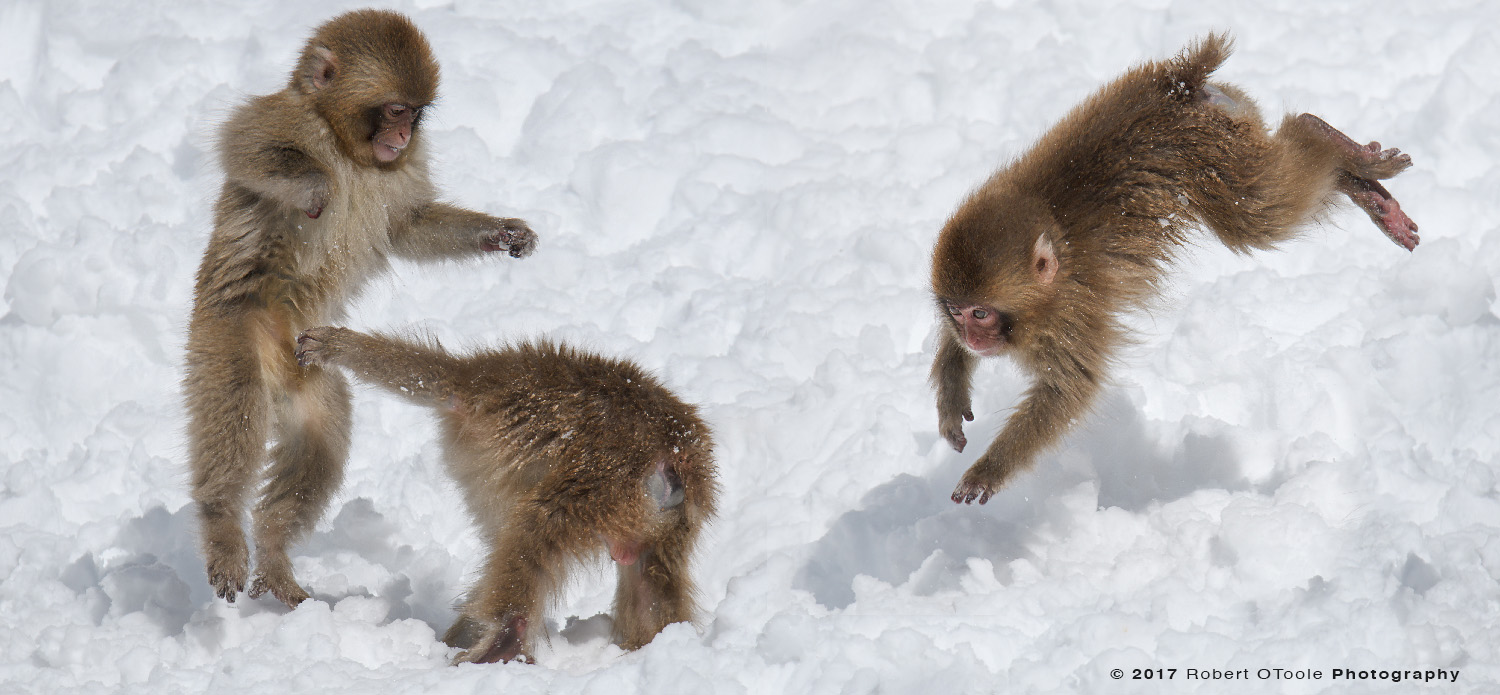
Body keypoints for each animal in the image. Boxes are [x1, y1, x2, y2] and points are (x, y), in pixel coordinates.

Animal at [184, 10, 540, 609]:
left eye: (417, 114)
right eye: (395, 110)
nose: (403, 136)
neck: (347, 147)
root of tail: (280, 369)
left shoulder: (402, 171)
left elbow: (408, 226)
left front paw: (501, 233)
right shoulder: (286, 117)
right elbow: (244, 144)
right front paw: (314, 184)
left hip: (311, 372)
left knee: (320, 447)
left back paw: (274, 555)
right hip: (227, 338)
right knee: (235, 412)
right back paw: (223, 526)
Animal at [295, 328, 717, 666]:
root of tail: (673, 452)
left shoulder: (481, 389)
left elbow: (432, 378)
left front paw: (337, 345)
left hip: (600, 484)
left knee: (536, 527)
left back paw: (504, 640)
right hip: (664, 523)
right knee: (650, 578)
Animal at [936, 33, 1416, 507]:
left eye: (981, 313)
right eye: (957, 312)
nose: (972, 337)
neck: (1056, 244)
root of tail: (1180, 83)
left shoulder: (1074, 315)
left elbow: (1067, 392)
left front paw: (987, 471)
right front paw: (951, 392)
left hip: (1220, 156)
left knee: (1259, 215)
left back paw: (1323, 136)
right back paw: (1364, 186)